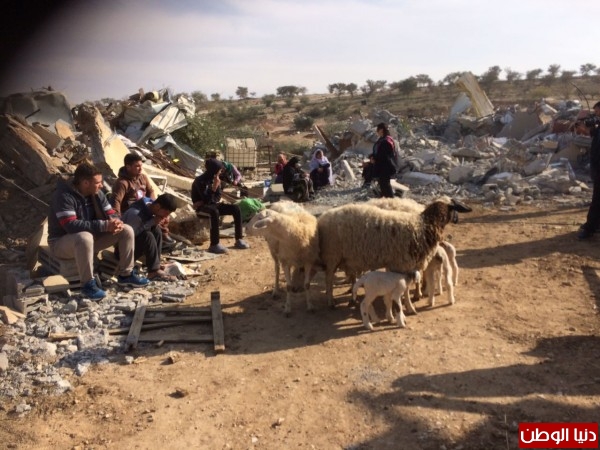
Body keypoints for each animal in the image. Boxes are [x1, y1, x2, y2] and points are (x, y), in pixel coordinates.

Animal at [318, 198, 471, 307]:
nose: (457, 220)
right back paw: (331, 301)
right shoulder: (402, 263)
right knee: (328, 279)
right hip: (332, 255)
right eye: (453, 210)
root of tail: (323, 218)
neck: (424, 226)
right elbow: (405, 285)